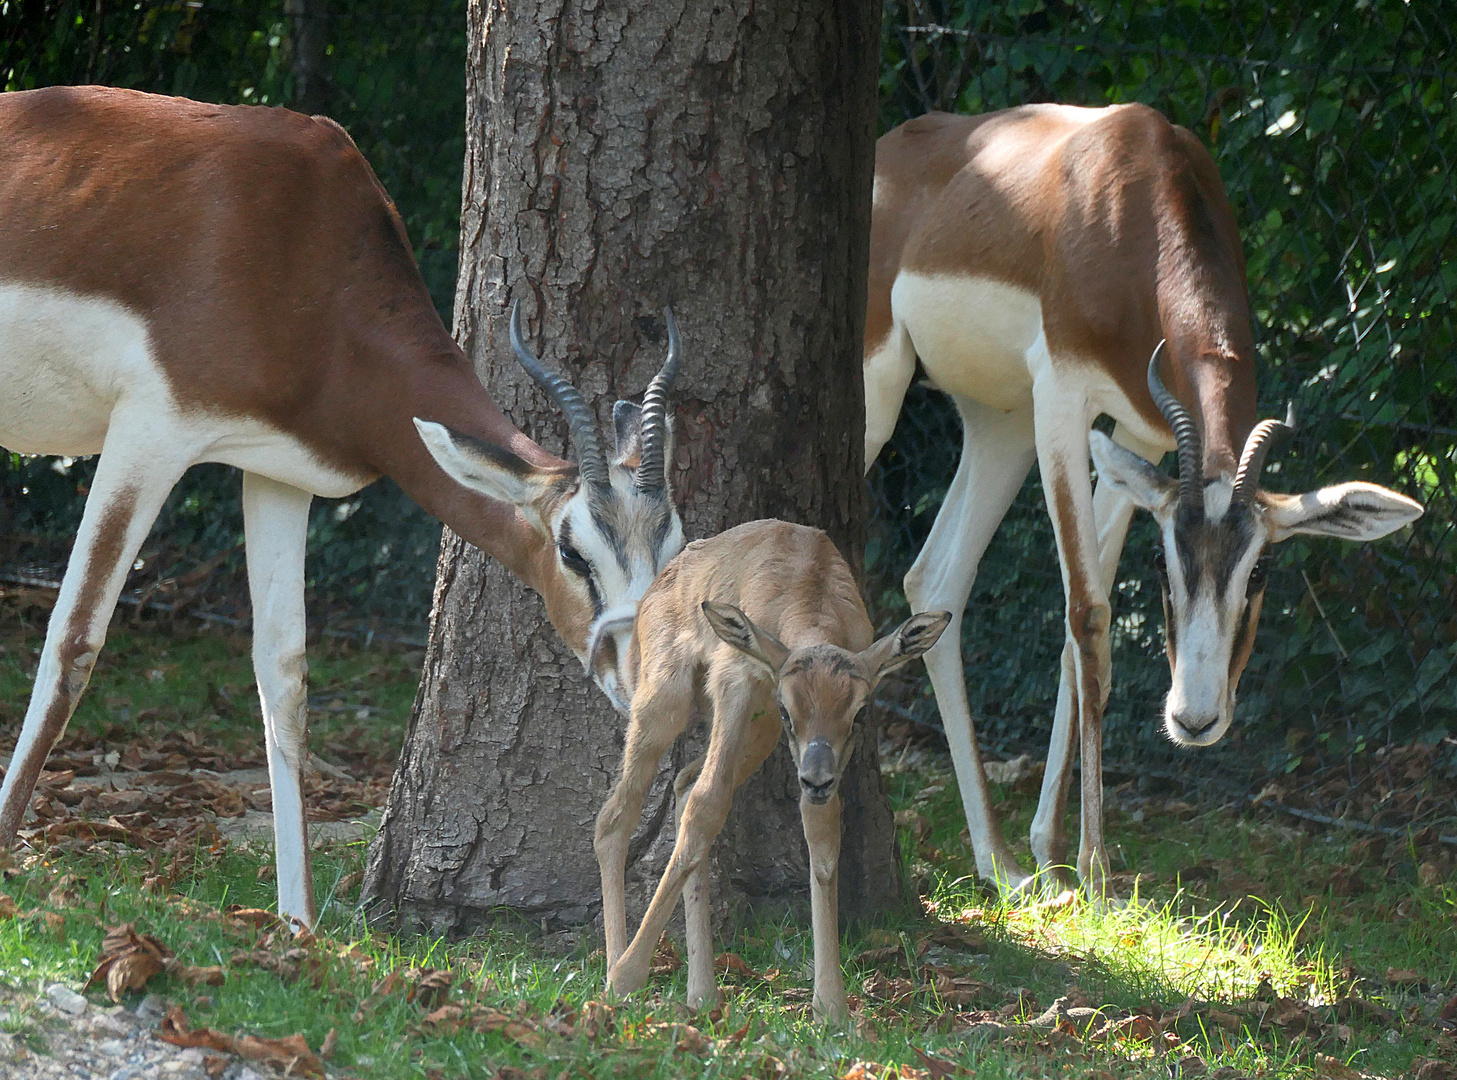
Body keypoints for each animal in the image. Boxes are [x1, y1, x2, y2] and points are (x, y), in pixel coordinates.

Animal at [594, 518, 949, 1026]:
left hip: (757, 738)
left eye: (860, 713)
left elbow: (822, 834)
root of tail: (656, 591)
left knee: (684, 785)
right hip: (666, 704)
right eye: (789, 709)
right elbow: (708, 806)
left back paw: (702, 995)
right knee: (619, 816)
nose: (817, 781)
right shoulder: (737, 686)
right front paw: (626, 977)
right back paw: (616, 969)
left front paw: (830, 1006)